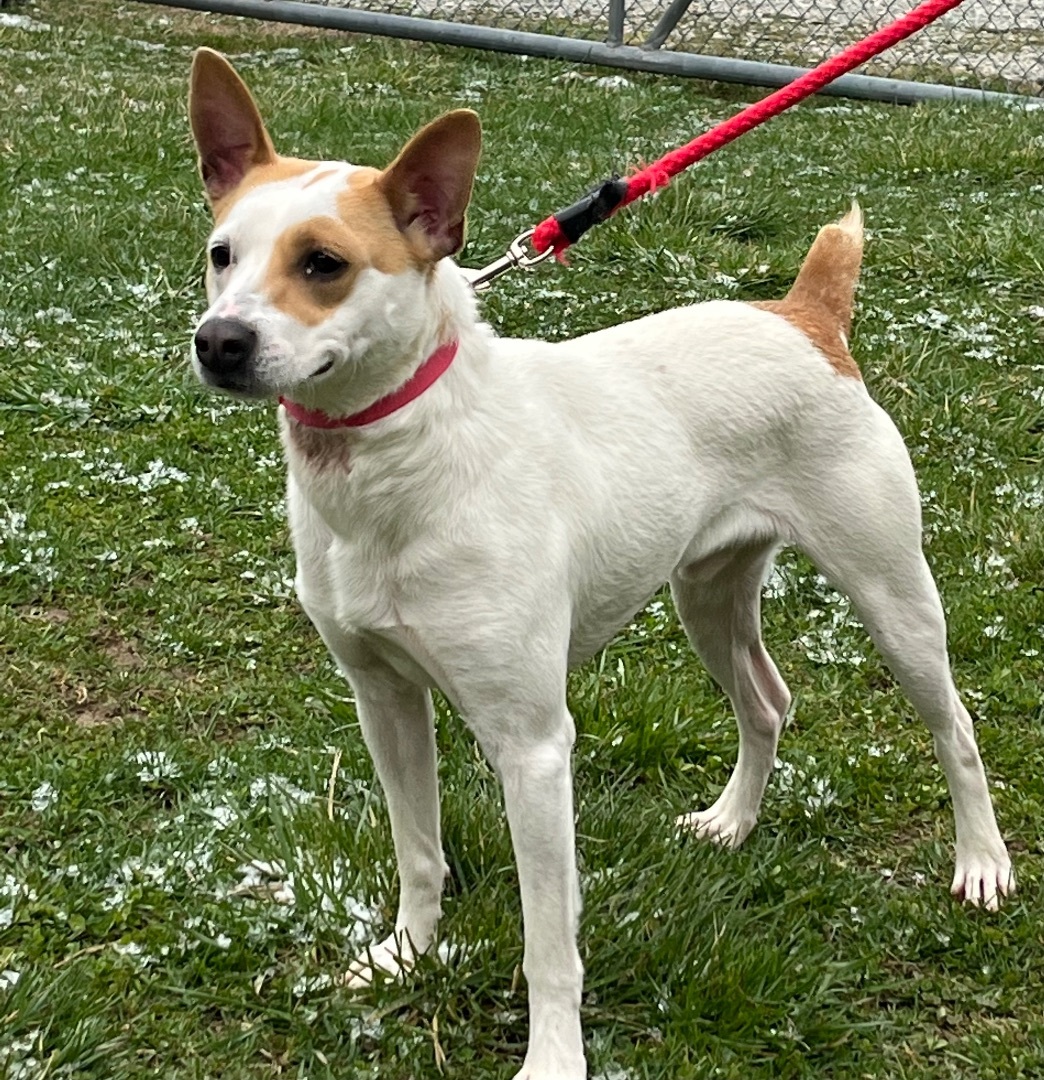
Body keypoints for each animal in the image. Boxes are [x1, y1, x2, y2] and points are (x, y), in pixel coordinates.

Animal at [185, 46, 1010, 1075]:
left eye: (323, 264)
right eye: (221, 254)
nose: (218, 342)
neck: (399, 458)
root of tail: (804, 314)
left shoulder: (534, 747)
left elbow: (551, 941)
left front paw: (552, 1058)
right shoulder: (383, 698)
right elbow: (418, 849)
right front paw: (407, 957)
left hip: (893, 597)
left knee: (956, 728)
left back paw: (982, 864)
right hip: (706, 593)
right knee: (767, 701)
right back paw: (733, 822)